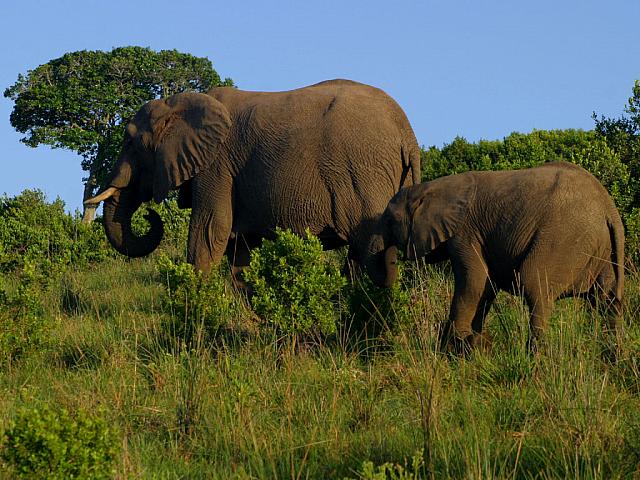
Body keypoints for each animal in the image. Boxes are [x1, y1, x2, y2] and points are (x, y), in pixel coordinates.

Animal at [84, 79, 420, 283]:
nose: (150, 215)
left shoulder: (217, 166)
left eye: (131, 143)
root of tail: (407, 133)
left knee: (371, 249)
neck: (180, 102)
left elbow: (210, 231)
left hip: (363, 175)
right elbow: (237, 247)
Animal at [366, 162, 625, 352]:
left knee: (535, 287)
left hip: (564, 238)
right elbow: (485, 288)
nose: (396, 260)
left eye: (389, 221)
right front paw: (473, 345)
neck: (434, 187)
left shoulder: (465, 233)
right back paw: (612, 354)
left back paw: (535, 357)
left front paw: (455, 348)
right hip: (601, 250)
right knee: (607, 299)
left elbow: (473, 282)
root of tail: (608, 207)